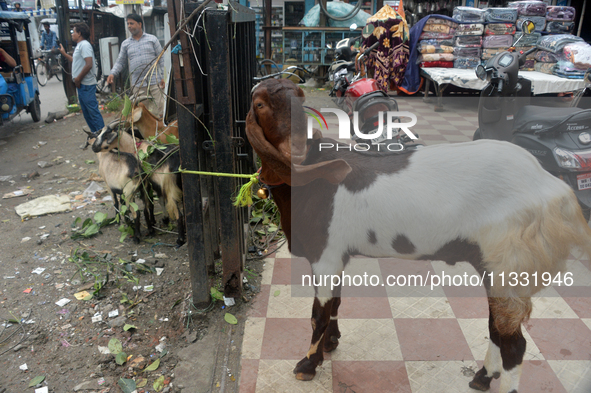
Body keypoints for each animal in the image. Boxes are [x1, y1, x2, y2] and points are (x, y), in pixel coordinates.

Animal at [245, 79, 591, 392]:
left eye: (300, 100)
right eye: (260, 104)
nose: (297, 148)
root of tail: (554, 189)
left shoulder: (325, 255)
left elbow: (319, 313)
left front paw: (307, 365)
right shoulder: (337, 255)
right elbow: (336, 304)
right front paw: (331, 343)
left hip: (511, 263)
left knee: (514, 344)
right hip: (496, 266)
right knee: (496, 327)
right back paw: (482, 377)